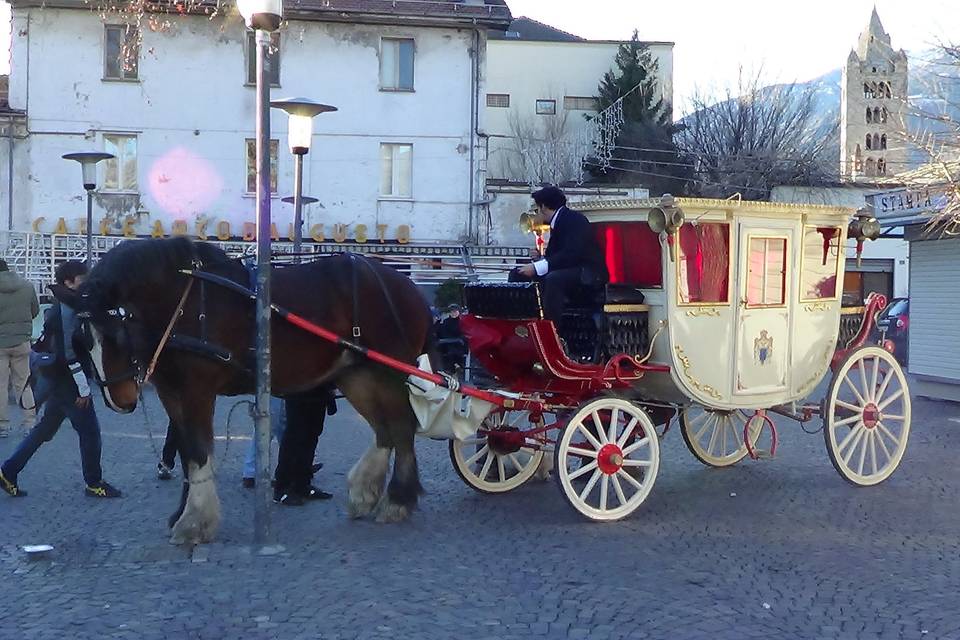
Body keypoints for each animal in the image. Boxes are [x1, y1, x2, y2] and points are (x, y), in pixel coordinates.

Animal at [79, 238, 432, 544]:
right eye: (82, 343)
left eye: (115, 334)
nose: (119, 399)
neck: (184, 302)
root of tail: (406, 285)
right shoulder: (171, 391)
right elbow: (185, 452)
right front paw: (181, 513)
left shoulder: (197, 390)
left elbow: (197, 450)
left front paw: (195, 521)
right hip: (357, 375)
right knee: (384, 430)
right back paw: (364, 492)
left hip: (390, 372)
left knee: (402, 427)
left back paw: (397, 500)